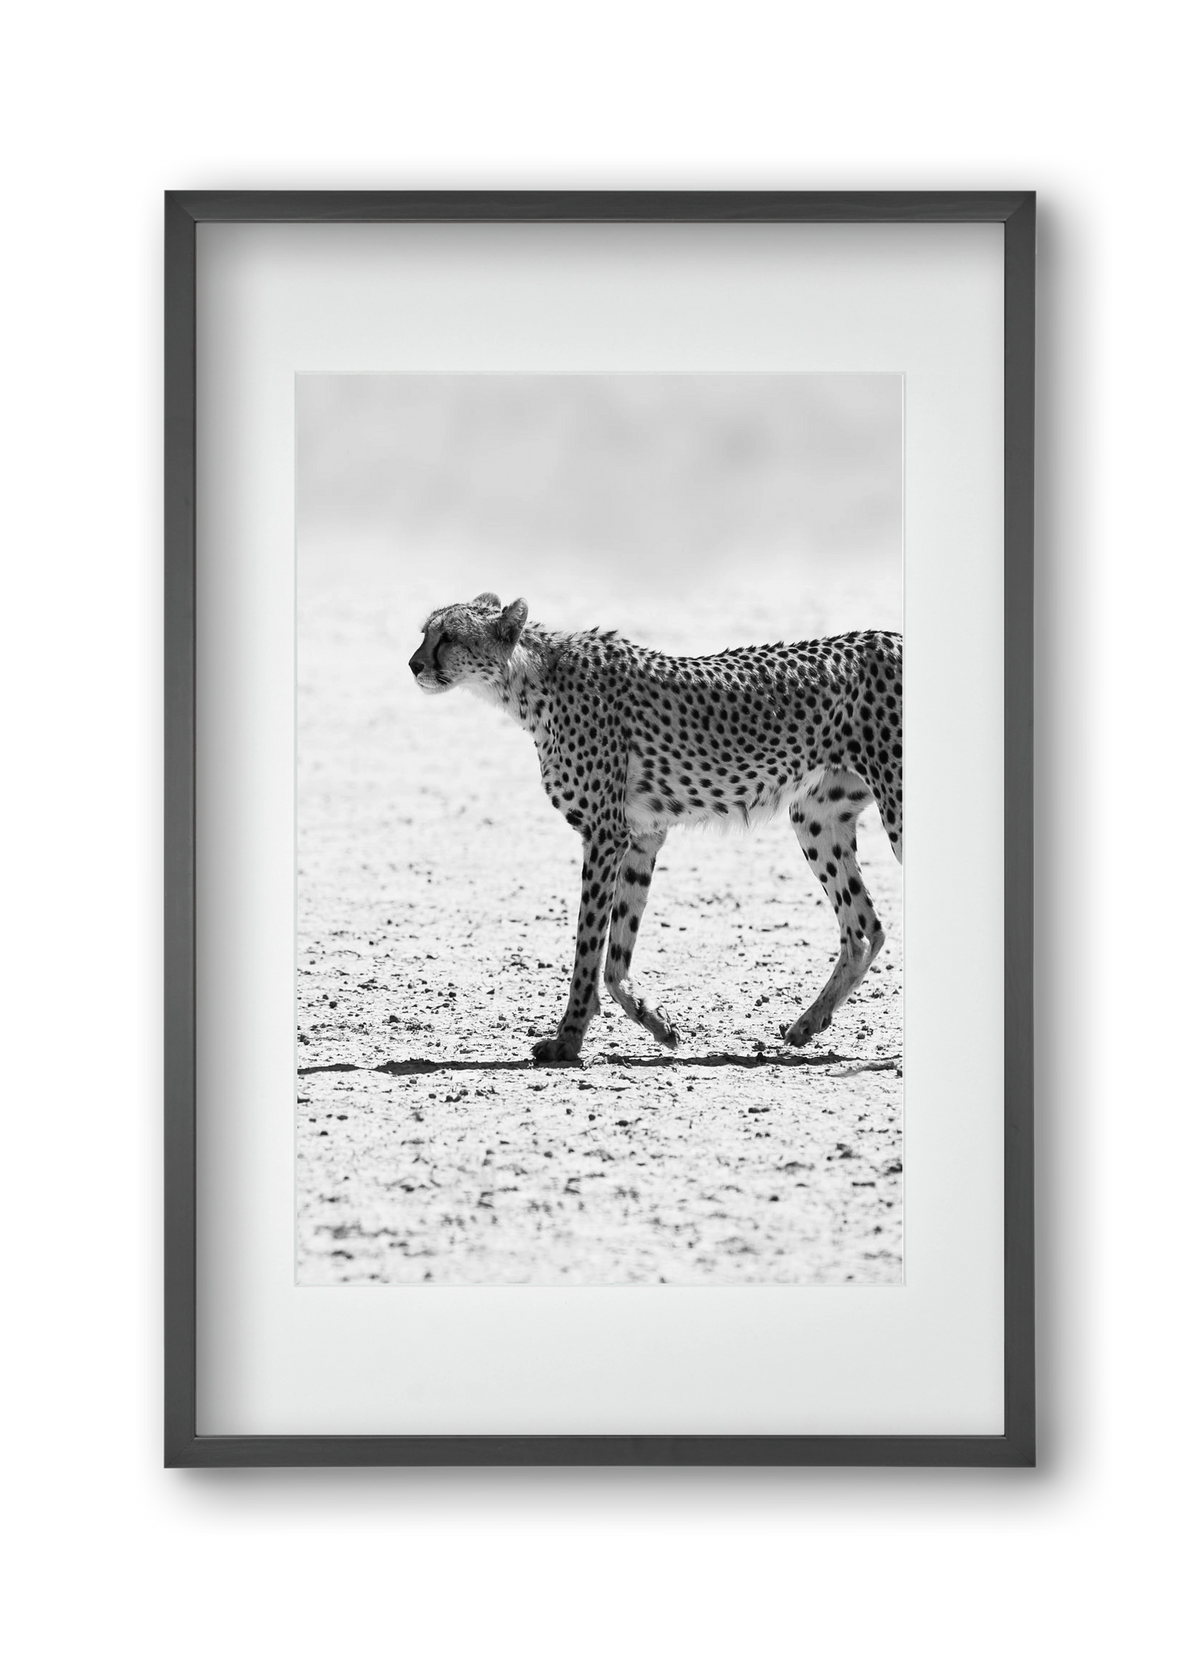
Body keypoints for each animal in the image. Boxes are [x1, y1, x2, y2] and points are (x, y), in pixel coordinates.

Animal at [409, 593, 902, 1064]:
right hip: (816, 817)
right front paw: (657, 1022)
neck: (528, 681)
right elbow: (616, 953)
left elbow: (588, 946)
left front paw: (567, 1040)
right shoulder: (642, 836)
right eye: (425, 633)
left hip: (894, 807)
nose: (413, 664)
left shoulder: (605, 834)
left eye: (448, 637)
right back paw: (808, 1023)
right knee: (864, 928)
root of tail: (890, 635)